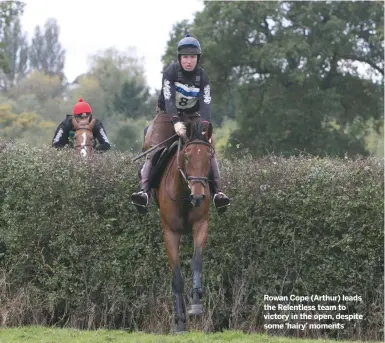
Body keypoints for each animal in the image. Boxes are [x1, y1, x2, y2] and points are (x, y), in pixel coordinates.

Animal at [152, 120, 213, 334]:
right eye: (186, 156)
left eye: (209, 156)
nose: (198, 196)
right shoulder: (170, 233)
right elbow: (177, 277)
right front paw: (180, 322)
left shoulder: (201, 225)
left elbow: (196, 262)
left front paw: (196, 304)